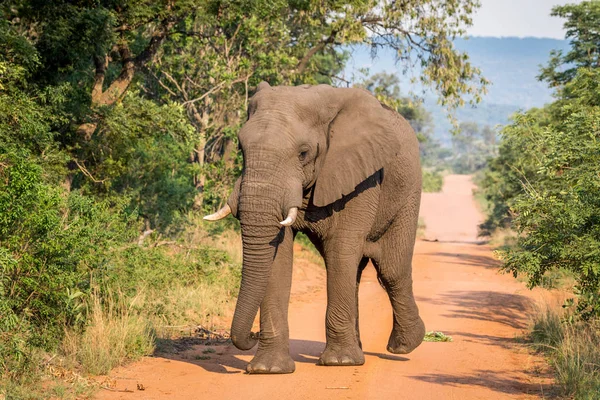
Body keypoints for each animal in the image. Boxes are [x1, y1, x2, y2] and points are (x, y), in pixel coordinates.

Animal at [204, 82, 424, 376]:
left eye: (303, 153)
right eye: (240, 148)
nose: (252, 335)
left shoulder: (361, 176)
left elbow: (341, 250)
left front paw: (340, 363)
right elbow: (278, 259)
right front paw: (268, 369)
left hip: (409, 191)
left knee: (390, 269)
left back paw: (404, 346)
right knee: (357, 270)